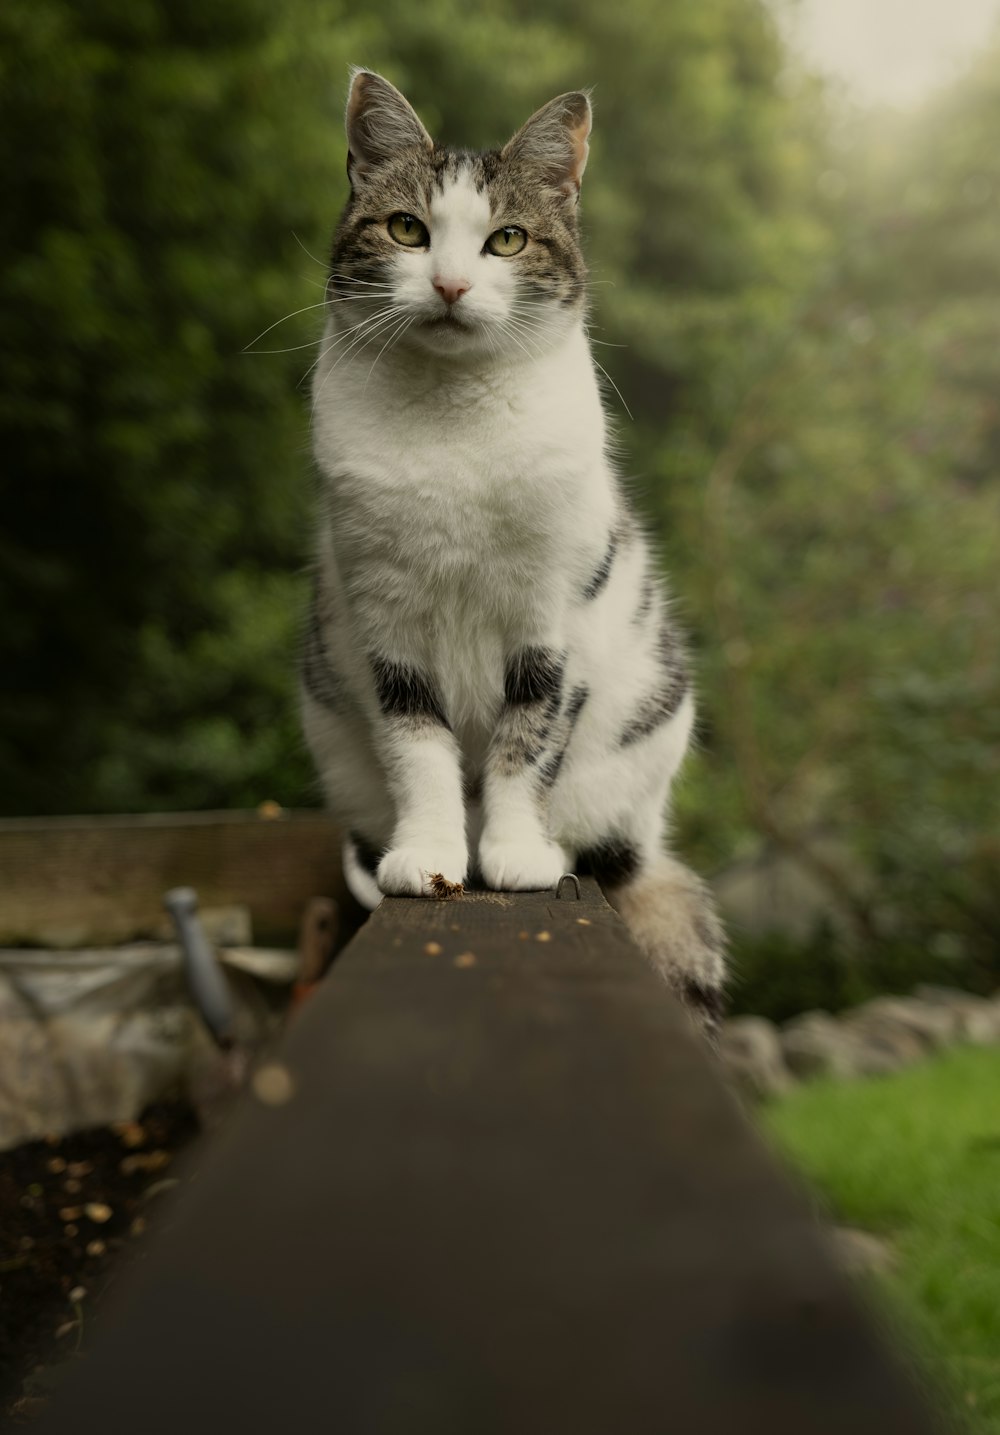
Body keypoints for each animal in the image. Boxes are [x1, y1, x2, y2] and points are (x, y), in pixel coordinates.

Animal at [298, 69, 725, 1033]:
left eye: (508, 239)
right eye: (407, 229)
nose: (453, 284)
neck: (454, 423)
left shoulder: (554, 617)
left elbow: (528, 743)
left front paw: (516, 853)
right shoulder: (384, 618)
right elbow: (416, 748)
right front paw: (429, 857)